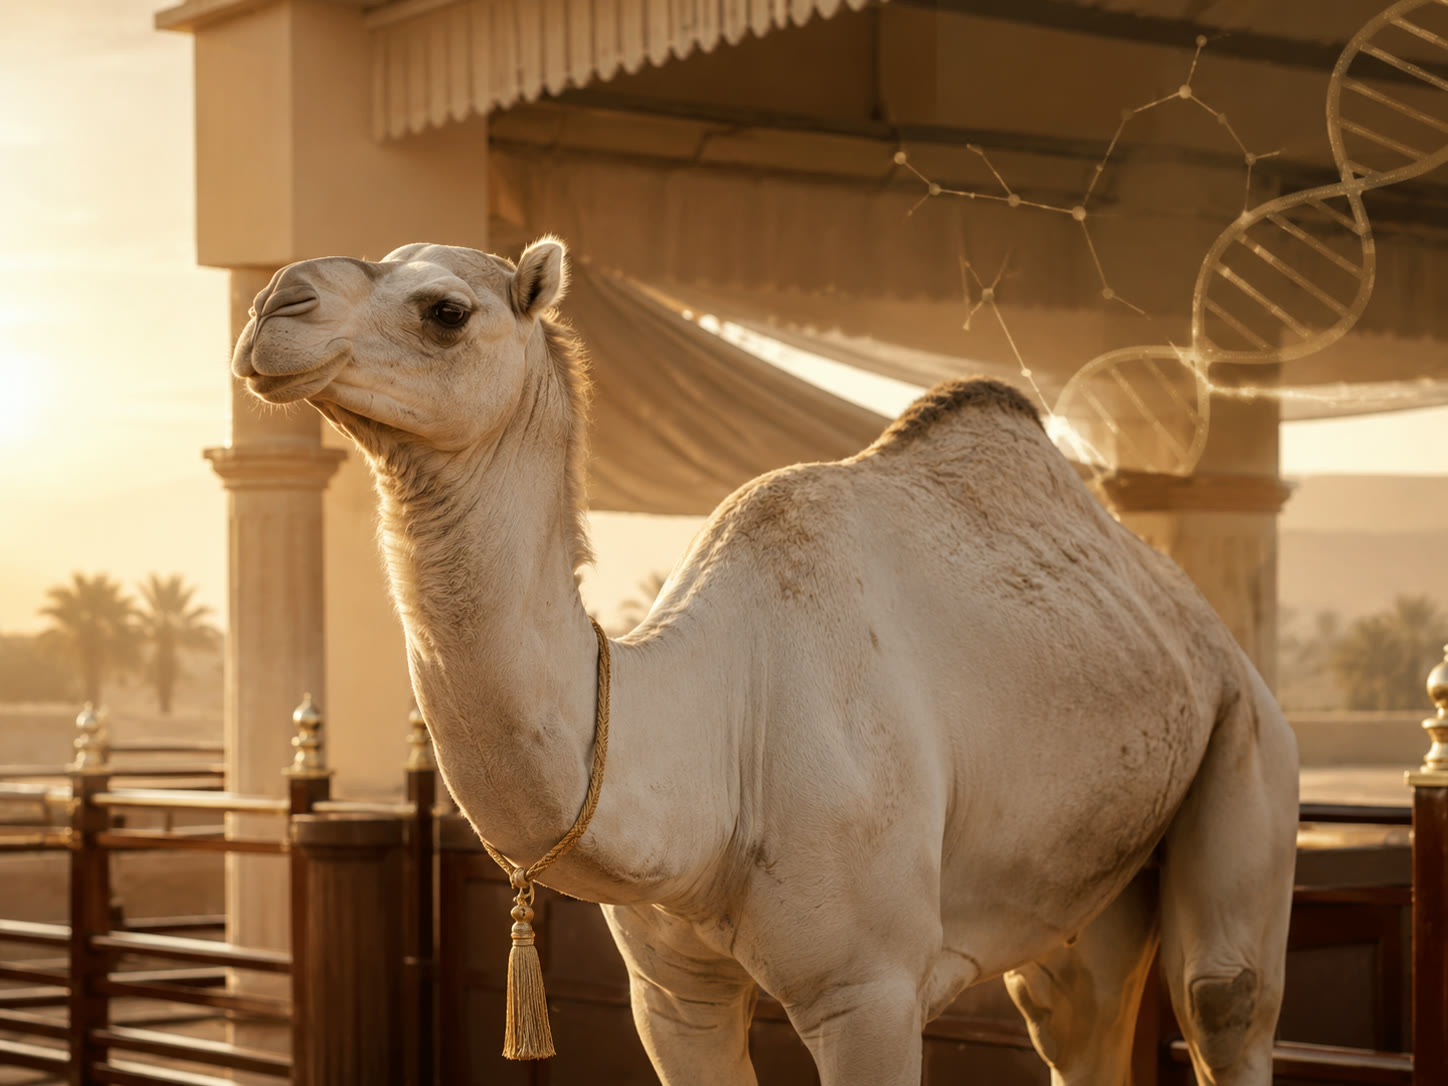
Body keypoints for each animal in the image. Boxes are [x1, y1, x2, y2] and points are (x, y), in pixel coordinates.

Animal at [232, 238, 1298, 1086]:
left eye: (445, 311)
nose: (270, 306)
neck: (710, 743)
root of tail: (1204, 625)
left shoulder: (870, 990)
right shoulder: (671, 997)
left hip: (1249, 737)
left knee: (1222, 996)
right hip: (1087, 868)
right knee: (1075, 1014)